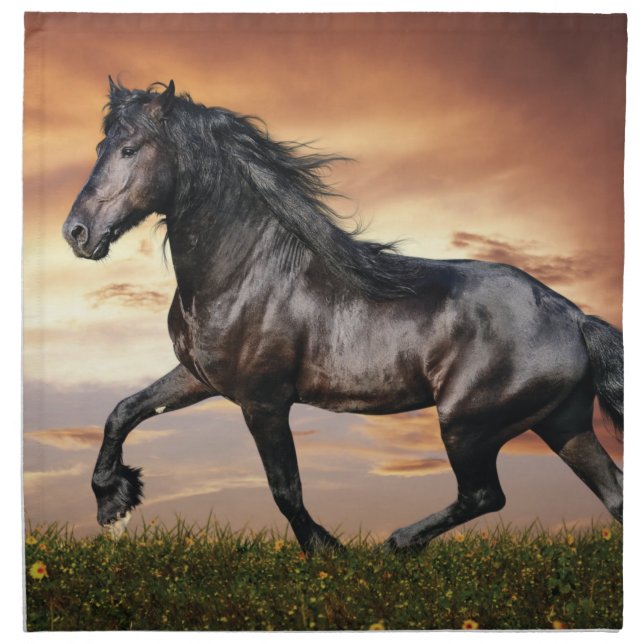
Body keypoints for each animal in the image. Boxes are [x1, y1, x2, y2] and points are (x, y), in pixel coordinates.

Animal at [62, 79, 624, 552]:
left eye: (130, 149)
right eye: (100, 148)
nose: (77, 233)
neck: (245, 271)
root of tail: (573, 316)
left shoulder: (263, 401)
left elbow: (284, 488)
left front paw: (327, 551)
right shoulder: (199, 377)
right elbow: (124, 411)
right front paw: (113, 503)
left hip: (468, 424)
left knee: (485, 495)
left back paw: (396, 543)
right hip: (562, 424)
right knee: (614, 495)